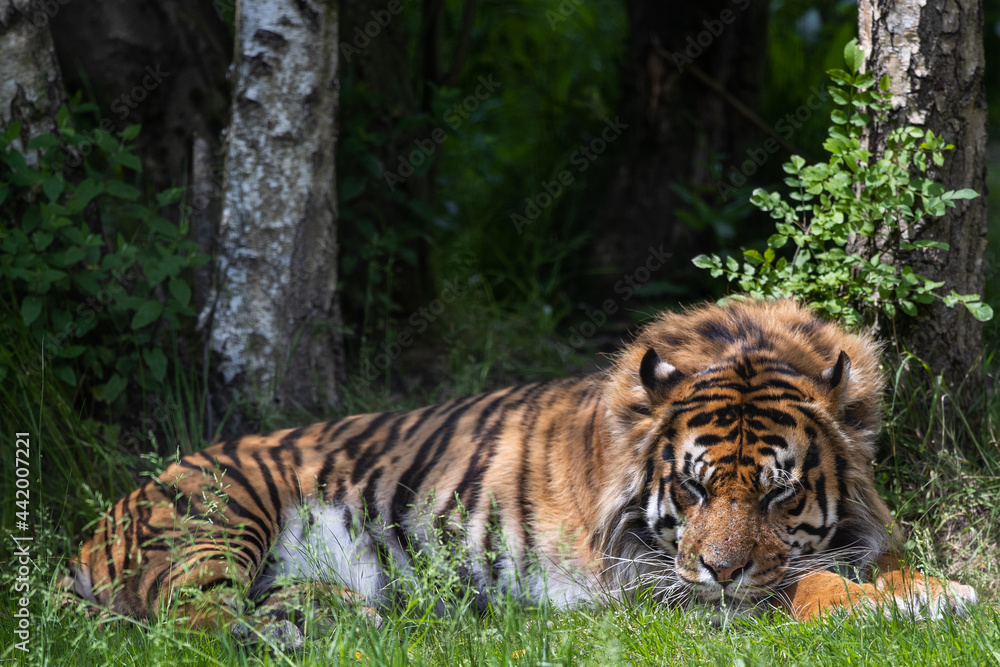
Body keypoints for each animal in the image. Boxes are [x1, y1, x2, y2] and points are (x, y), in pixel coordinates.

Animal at [64, 298, 977, 633]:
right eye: (692, 487)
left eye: (781, 493)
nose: (721, 570)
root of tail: (96, 525)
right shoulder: (659, 580)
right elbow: (802, 583)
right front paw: (936, 597)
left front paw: (928, 583)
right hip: (222, 512)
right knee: (189, 623)